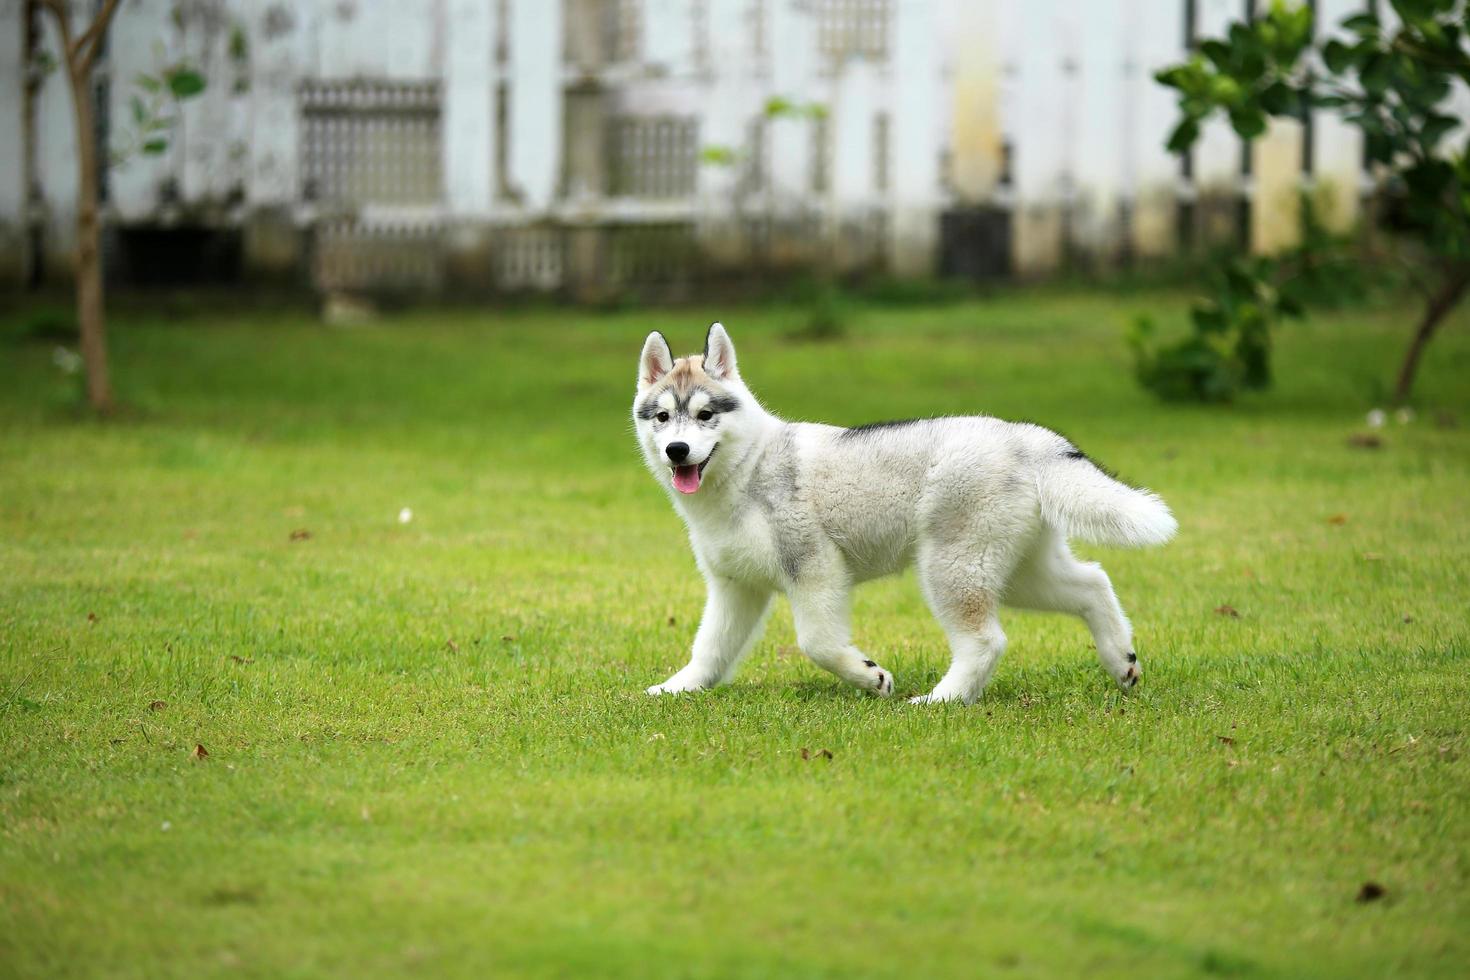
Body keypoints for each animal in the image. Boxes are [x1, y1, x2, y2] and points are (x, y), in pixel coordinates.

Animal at [629, 326, 1170, 702]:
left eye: (705, 415)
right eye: (663, 417)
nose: (677, 451)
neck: (746, 471)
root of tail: (1024, 436)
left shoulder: (817, 570)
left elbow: (817, 643)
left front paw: (872, 679)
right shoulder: (734, 588)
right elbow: (710, 647)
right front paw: (680, 687)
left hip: (952, 567)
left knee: (986, 640)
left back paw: (942, 700)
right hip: (1016, 571)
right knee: (1093, 582)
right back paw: (1121, 660)